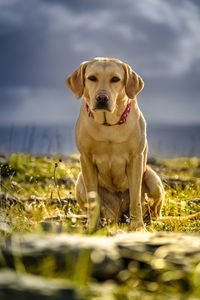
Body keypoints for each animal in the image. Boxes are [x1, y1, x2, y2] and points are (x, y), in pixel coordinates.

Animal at [65, 57, 164, 231]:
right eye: (92, 78)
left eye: (115, 79)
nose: (102, 98)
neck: (108, 125)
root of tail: (120, 216)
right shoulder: (86, 159)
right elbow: (92, 199)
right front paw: (92, 227)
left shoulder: (136, 159)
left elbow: (135, 199)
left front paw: (138, 227)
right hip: (80, 181)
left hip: (152, 178)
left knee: (154, 210)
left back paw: (153, 221)